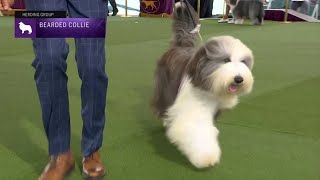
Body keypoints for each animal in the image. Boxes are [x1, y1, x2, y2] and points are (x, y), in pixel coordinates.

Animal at [152, 0, 255, 168]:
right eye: (226, 60)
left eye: (243, 62)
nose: (239, 79)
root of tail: (179, 46)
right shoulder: (193, 108)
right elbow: (197, 128)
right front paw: (206, 157)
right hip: (165, 87)